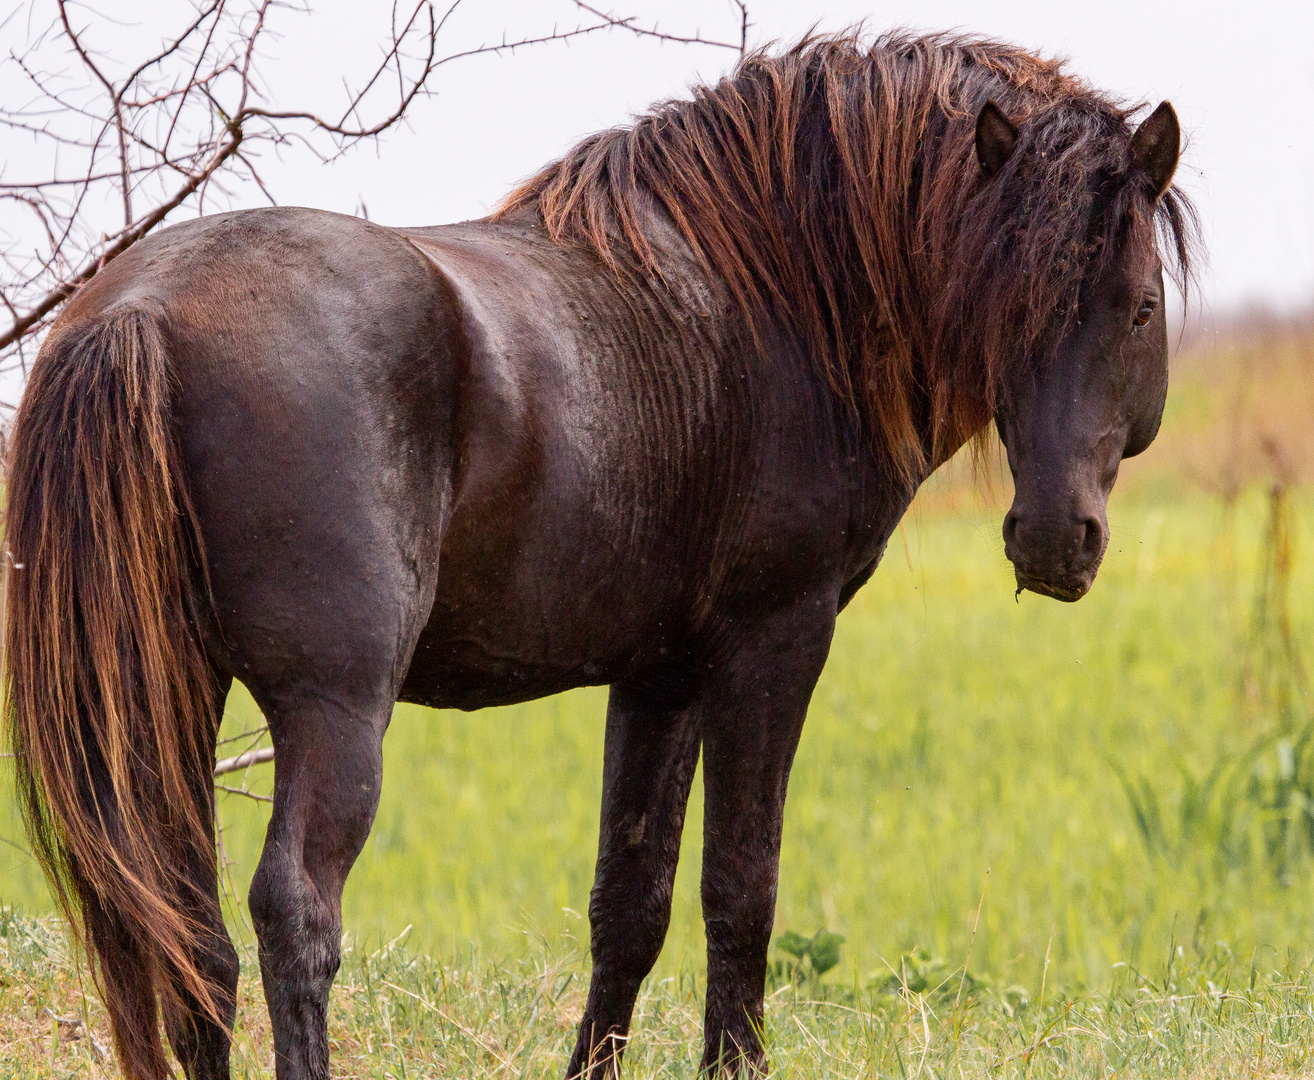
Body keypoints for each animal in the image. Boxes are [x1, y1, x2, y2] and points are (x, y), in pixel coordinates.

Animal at [2, 29, 1193, 1080]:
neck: (771, 299)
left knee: (184, 924)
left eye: (1135, 308)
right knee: (292, 910)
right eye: (1023, 300)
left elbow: (632, 901)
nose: (1056, 541)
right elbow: (741, 885)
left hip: (165, 694)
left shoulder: (657, 671)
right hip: (330, 704)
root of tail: (141, 313)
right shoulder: (773, 640)